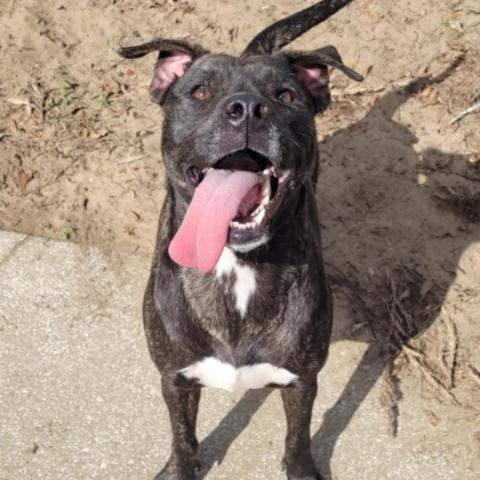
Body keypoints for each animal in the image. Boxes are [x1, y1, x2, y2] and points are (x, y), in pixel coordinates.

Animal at [118, 1, 362, 478]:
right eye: (199, 92)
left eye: (286, 96)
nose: (248, 108)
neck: (235, 266)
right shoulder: (174, 379)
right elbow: (182, 439)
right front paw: (180, 468)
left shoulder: (302, 379)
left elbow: (298, 437)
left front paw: (301, 468)